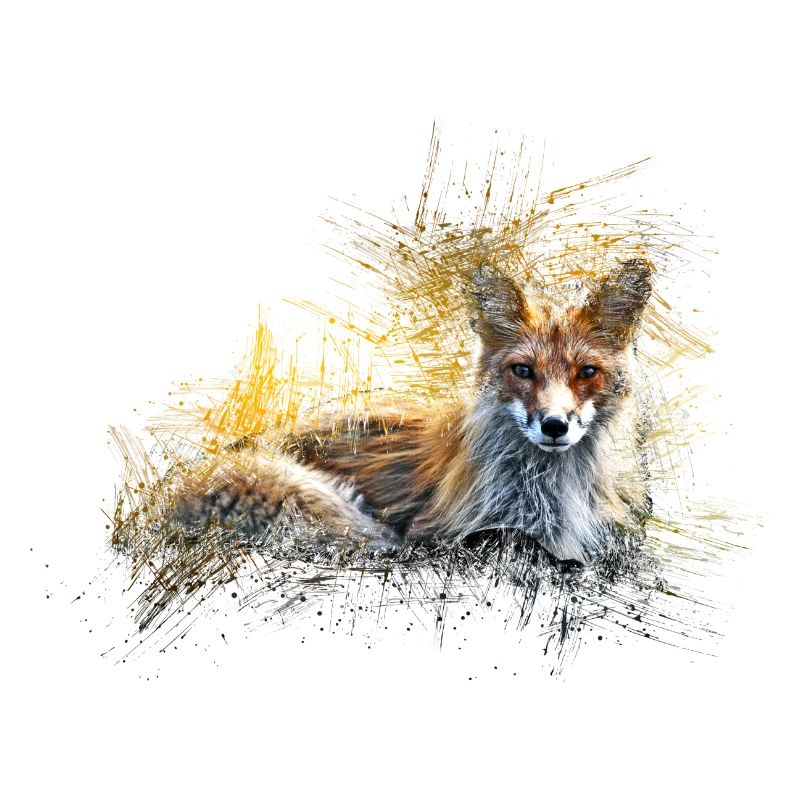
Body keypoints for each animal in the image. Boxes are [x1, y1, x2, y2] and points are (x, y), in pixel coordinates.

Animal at [173, 259, 653, 565]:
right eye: (523, 370)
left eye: (586, 372)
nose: (554, 426)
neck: (553, 497)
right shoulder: (442, 531)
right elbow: (514, 543)